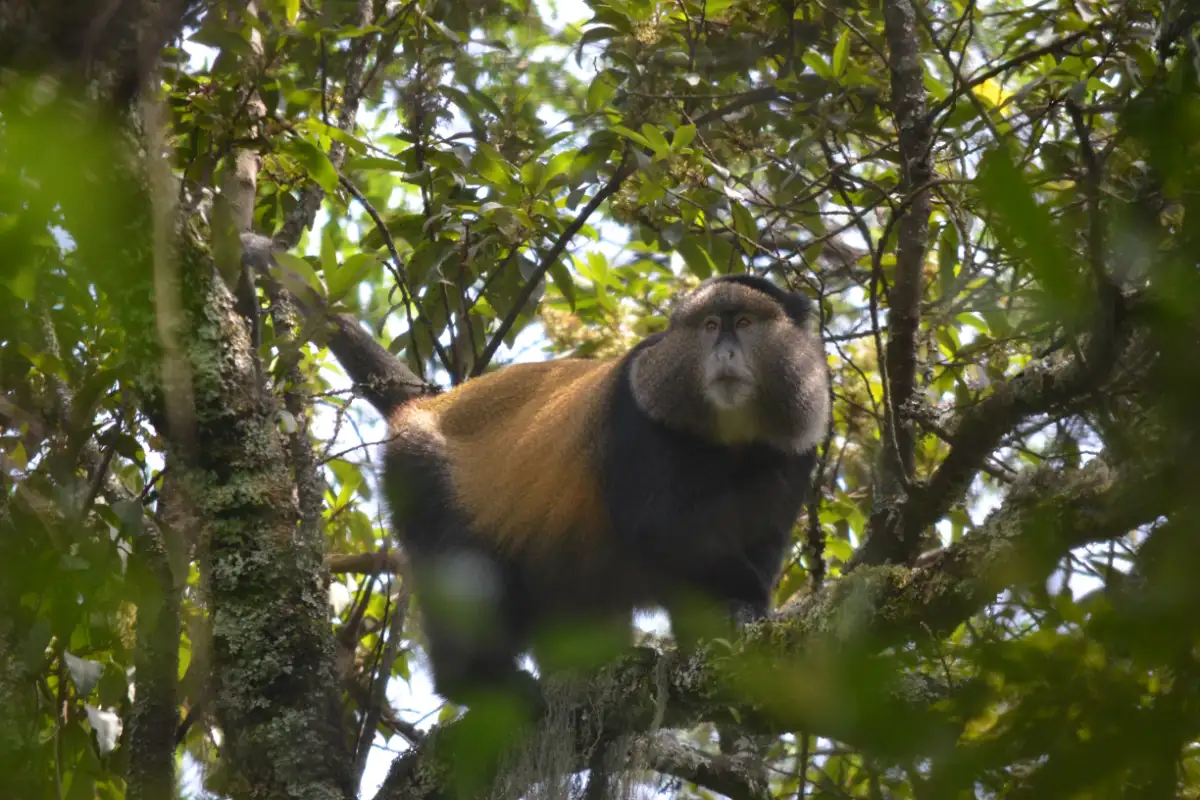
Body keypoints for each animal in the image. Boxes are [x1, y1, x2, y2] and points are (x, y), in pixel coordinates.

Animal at [381, 273, 830, 707]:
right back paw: (476, 681)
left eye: (746, 323)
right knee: (463, 562)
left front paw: (735, 616)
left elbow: (763, 538)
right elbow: (663, 529)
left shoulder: (796, 446)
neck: (730, 439)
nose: (725, 355)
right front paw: (743, 602)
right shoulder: (636, 415)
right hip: (418, 470)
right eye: (711, 326)